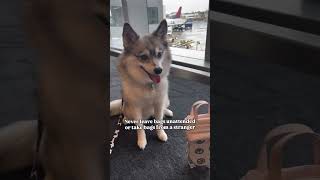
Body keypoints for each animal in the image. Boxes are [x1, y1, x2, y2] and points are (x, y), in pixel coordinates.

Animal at [110, 19, 175, 149]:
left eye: (159, 54)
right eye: (143, 57)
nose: (159, 70)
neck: (148, 84)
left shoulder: (159, 103)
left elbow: (159, 121)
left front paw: (161, 134)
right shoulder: (136, 108)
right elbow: (140, 127)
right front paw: (142, 140)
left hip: (166, 99)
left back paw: (167, 111)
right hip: (127, 107)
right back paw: (126, 119)